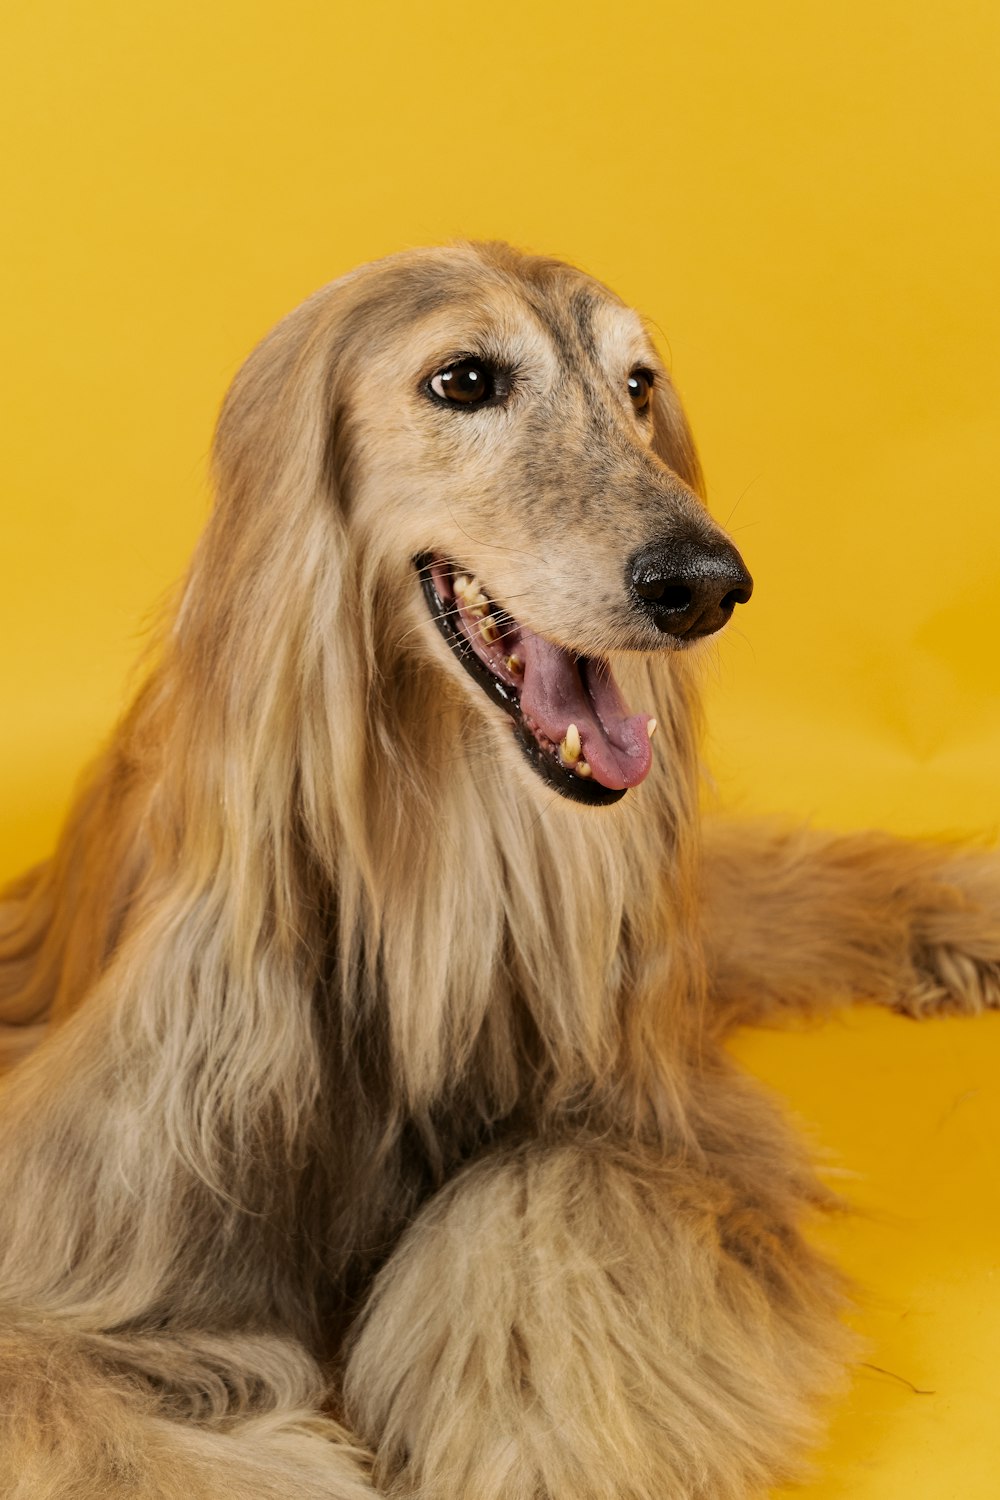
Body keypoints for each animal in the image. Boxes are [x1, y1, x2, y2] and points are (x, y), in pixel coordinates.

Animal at [1, 240, 1000, 1494]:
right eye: (464, 380)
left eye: (637, 386)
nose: (703, 585)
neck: (445, 842)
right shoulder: (109, 1201)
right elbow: (74, 1394)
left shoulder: (634, 1095)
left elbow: (552, 1207)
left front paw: (533, 1449)